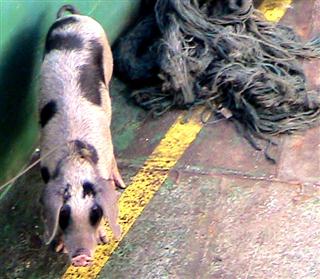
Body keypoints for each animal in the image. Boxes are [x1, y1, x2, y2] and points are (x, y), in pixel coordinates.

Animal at [38, 3, 125, 266]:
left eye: (95, 212)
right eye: (64, 214)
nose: (80, 257)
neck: (75, 158)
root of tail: (74, 18)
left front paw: (105, 238)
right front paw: (57, 246)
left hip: (108, 61)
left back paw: (122, 182)